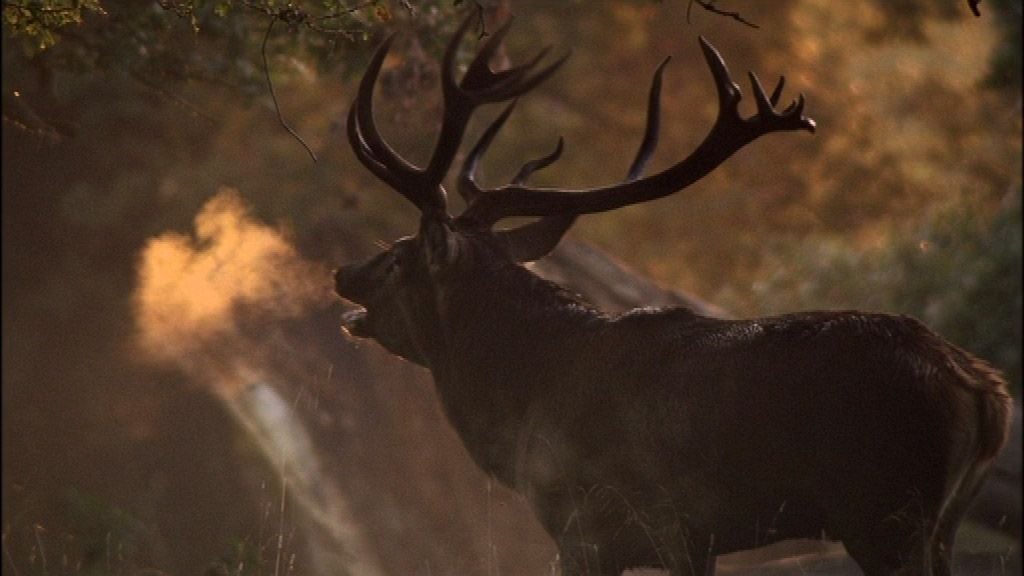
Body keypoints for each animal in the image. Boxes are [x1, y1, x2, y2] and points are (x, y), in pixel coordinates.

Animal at [333, 14, 1007, 573]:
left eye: (398, 256)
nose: (343, 274)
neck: (523, 405)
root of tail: (983, 389)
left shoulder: (602, 525)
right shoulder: (694, 538)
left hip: (884, 510)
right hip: (939, 523)